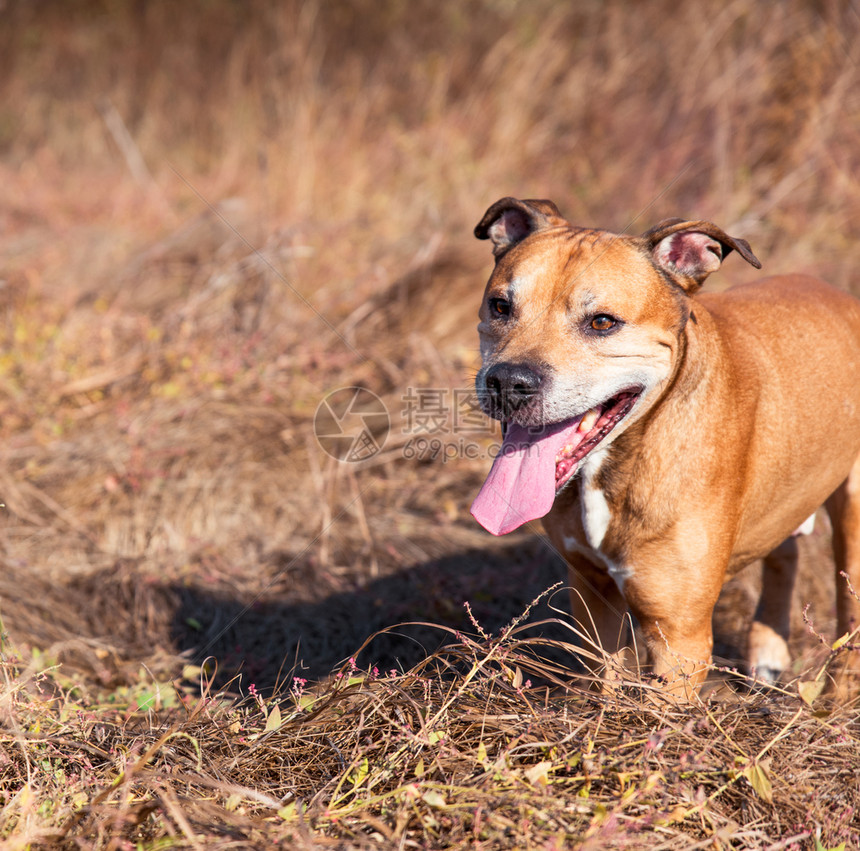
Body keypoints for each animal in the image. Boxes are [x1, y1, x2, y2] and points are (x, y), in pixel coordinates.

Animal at [470, 198, 860, 700]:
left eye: (602, 322)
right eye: (501, 306)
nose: (507, 381)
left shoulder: (679, 638)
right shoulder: (594, 600)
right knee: (783, 551)